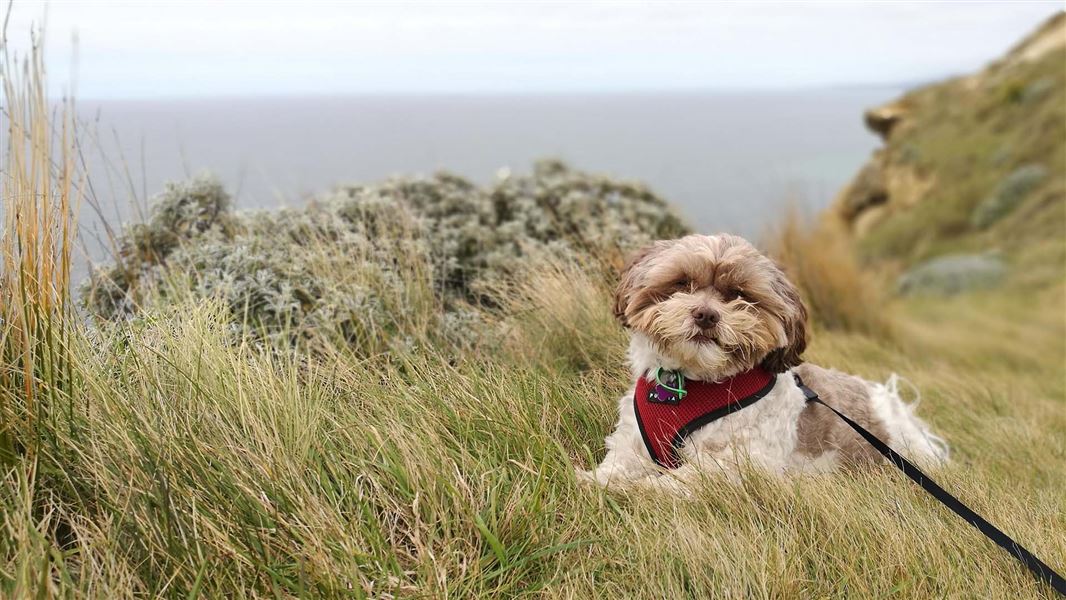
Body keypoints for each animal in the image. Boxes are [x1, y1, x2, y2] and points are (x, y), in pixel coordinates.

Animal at [584, 232, 950, 490]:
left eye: (739, 295)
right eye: (682, 283)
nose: (705, 314)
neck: (688, 384)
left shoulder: (742, 461)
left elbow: (686, 479)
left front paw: (640, 490)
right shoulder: (634, 441)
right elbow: (619, 463)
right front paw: (596, 481)